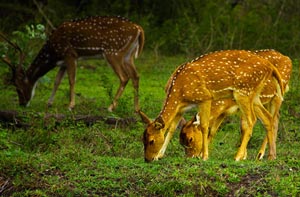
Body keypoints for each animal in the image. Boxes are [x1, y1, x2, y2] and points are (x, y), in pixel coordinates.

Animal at [0, 16, 145, 111]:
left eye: (18, 88)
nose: (22, 104)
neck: (53, 53)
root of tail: (139, 29)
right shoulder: (63, 62)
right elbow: (57, 81)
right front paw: (49, 103)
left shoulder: (70, 54)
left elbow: (71, 80)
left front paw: (71, 105)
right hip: (128, 55)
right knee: (136, 76)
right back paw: (136, 109)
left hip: (113, 52)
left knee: (124, 77)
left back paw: (110, 107)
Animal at [138, 50, 284, 162]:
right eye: (142, 139)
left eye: (151, 140)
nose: (147, 159)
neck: (179, 90)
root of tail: (270, 67)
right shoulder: (182, 107)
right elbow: (172, 128)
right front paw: (160, 155)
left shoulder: (205, 97)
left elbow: (204, 126)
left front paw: (204, 156)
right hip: (254, 96)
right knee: (268, 118)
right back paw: (270, 156)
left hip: (243, 92)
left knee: (251, 120)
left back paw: (238, 157)